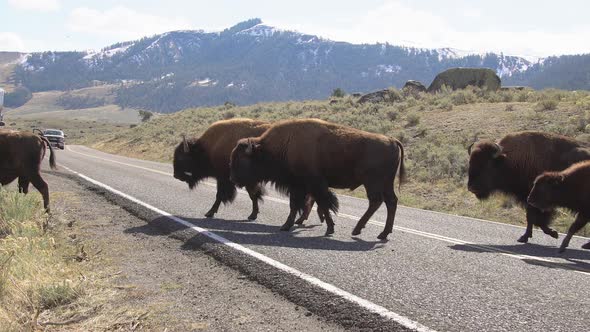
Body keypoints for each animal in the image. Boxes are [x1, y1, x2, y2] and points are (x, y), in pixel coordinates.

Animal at [231, 118, 408, 240]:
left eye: (241, 159)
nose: (232, 179)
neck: (284, 145)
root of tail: (392, 140)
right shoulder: (301, 186)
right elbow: (304, 205)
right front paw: (289, 225)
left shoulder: (309, 185)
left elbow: (316, 203)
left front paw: (327, 228)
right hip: (386, 183)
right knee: (390, 201)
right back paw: (382, 233)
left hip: (372, 183)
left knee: (376, 201)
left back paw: (358, 229)